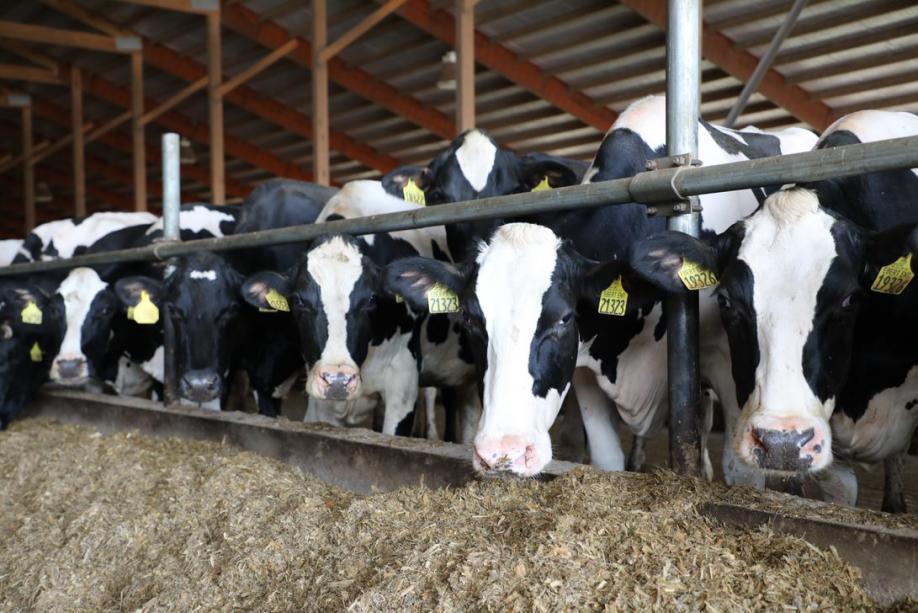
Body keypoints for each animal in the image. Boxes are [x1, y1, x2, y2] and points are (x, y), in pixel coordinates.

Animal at [385, 95, 818, 479]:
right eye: (473, 322)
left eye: (562, 320)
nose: (502, 453)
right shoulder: (587, 373)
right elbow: (607, 460)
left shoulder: (727, 363)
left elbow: (739, 468)